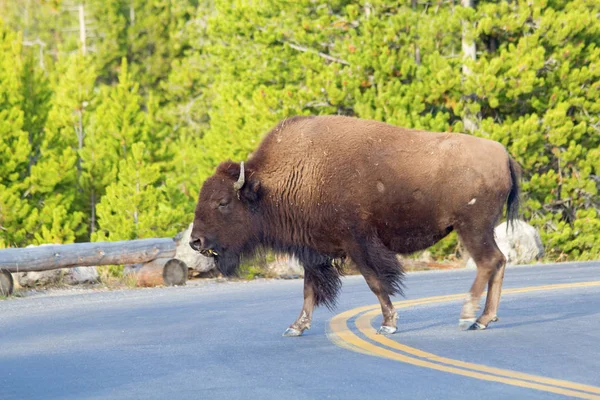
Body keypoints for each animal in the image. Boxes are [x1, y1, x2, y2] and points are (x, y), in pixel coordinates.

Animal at [191, 114, 520, 336]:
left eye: (223, 202)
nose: (196, 241)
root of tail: (503, 154)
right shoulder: (314, 251)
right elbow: (309, 289)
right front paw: (296, 327)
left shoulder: (357, 244)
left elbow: (375, 282)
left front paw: (388, 323)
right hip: (482, 229)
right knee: (500, 261)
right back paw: (485, 319)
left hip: (472, 228)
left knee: (488, 262)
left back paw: (468, 316)